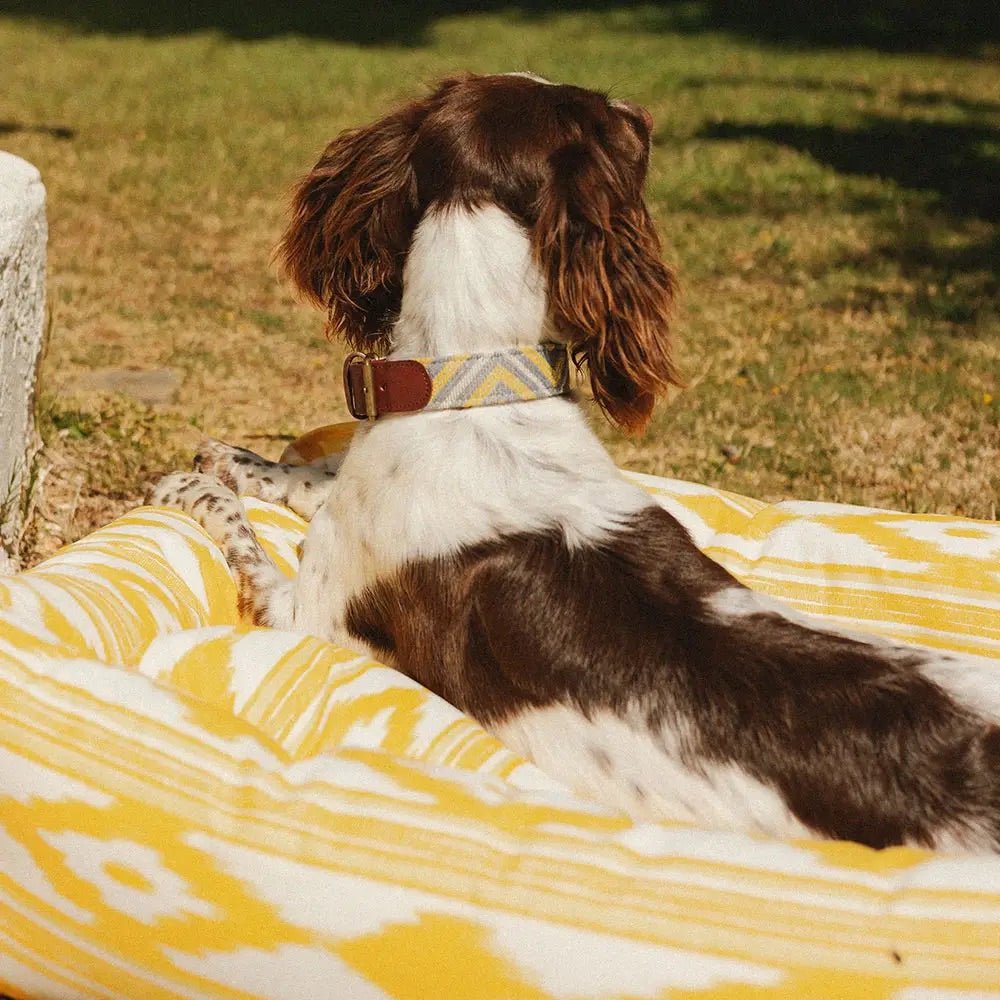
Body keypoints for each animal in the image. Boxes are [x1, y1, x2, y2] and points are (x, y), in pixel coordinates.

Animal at [150, 72, 1000, 852]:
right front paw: (240, 459)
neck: (479, 389)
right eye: (608, 116)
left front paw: (191, 482)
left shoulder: (310, 618)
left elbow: (244, 534)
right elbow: (314, 479)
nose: (644, 110)